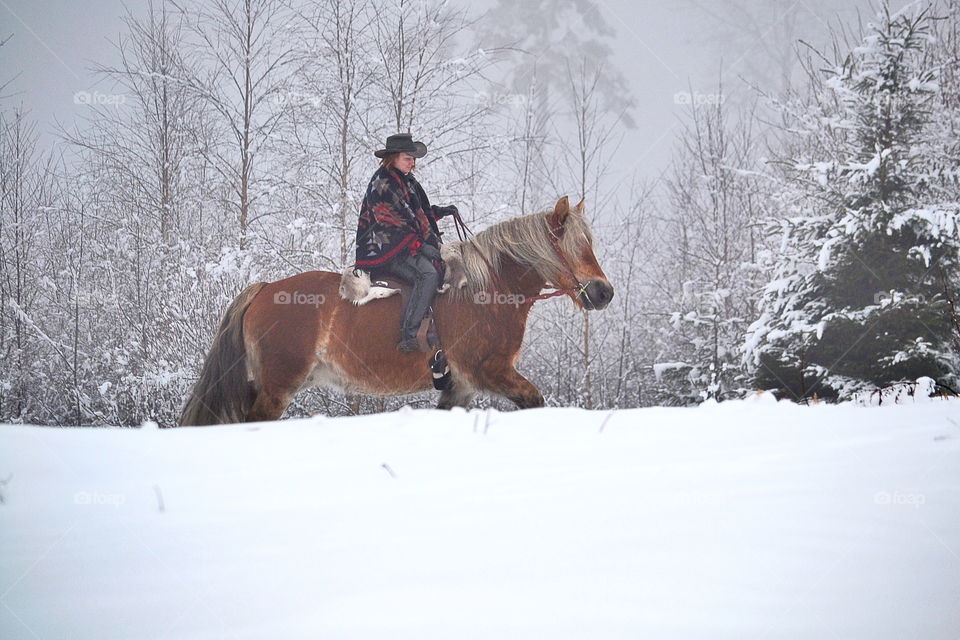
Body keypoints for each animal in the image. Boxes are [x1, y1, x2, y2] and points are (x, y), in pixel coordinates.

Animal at [180, 196, 616, 424]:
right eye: (575, 246)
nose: (603, 292)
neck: (487, 292)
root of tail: (265, 289)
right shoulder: (489, 372)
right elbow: (534, 401)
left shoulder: (460, 385)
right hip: (276, 388)